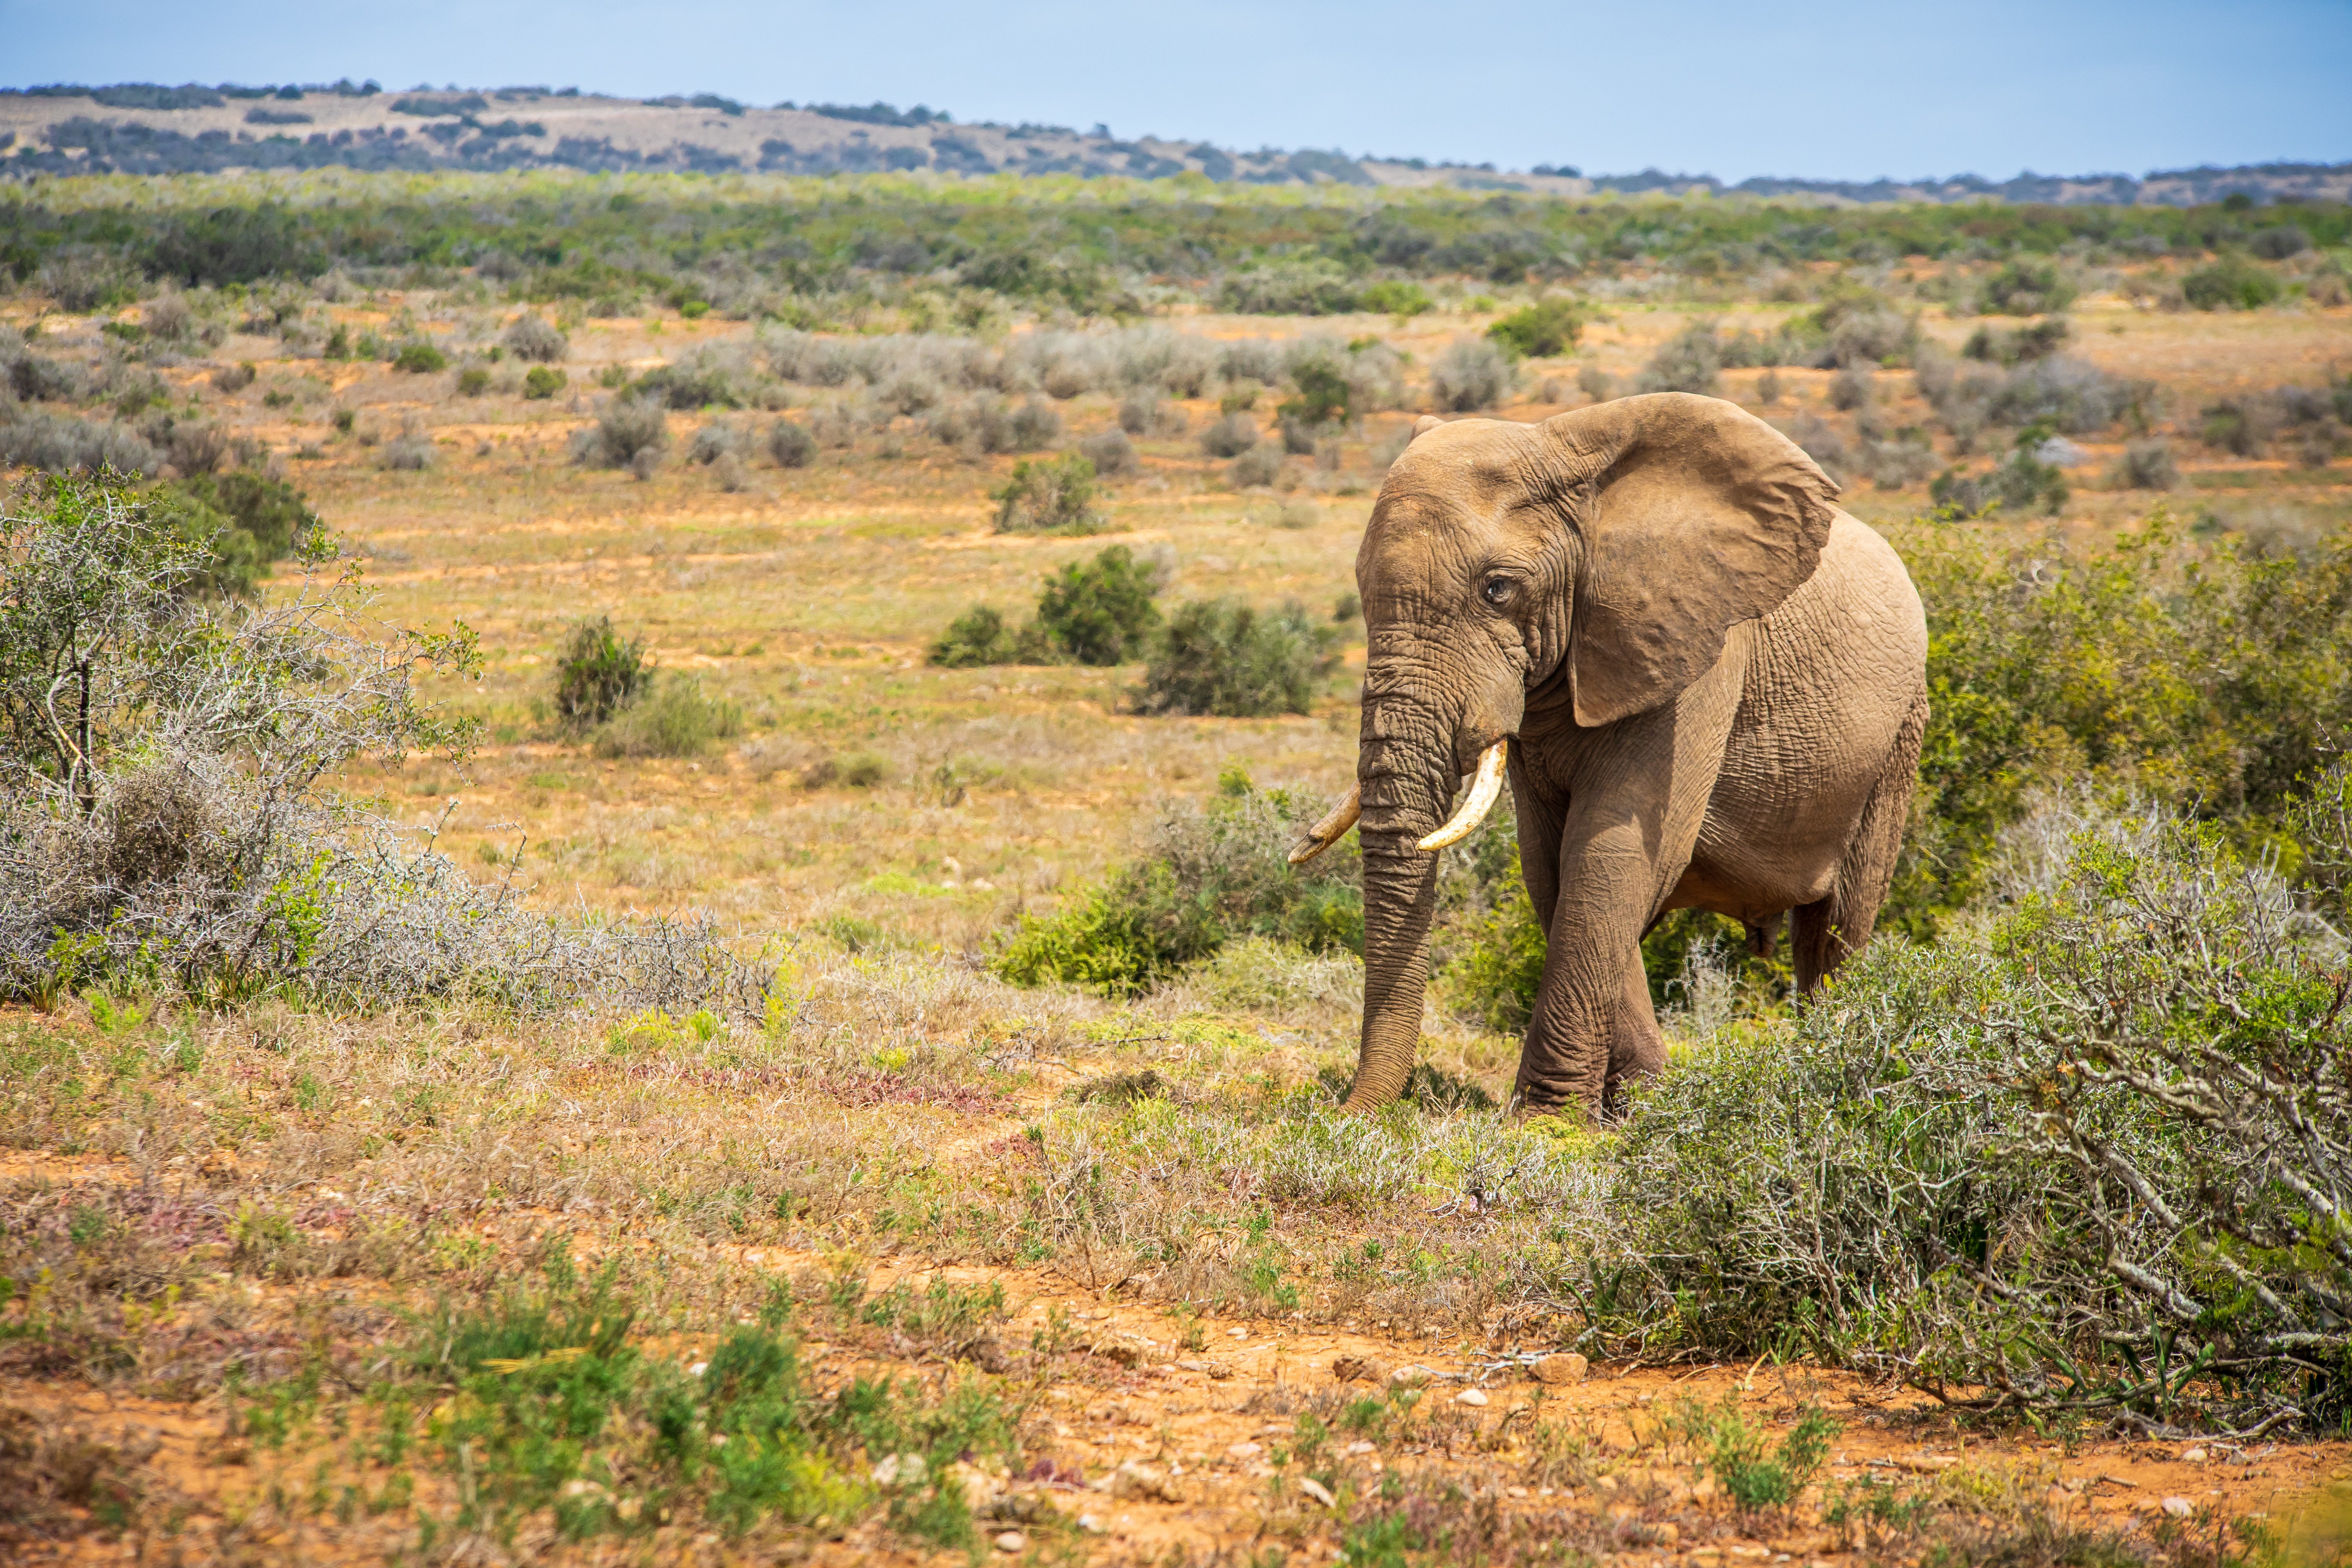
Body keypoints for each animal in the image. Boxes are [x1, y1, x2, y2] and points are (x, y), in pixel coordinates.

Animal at [1288, 393, 1928, 1117]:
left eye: (1498, 590)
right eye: (1361, 588)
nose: (1343, 1113)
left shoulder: (1695, 654)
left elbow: (1611, 854)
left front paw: (1546, 1121)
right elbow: (1554, 867)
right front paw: (1642, 1103)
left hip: (1899, 735)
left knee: (1839, 927)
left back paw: (1830, 1065)